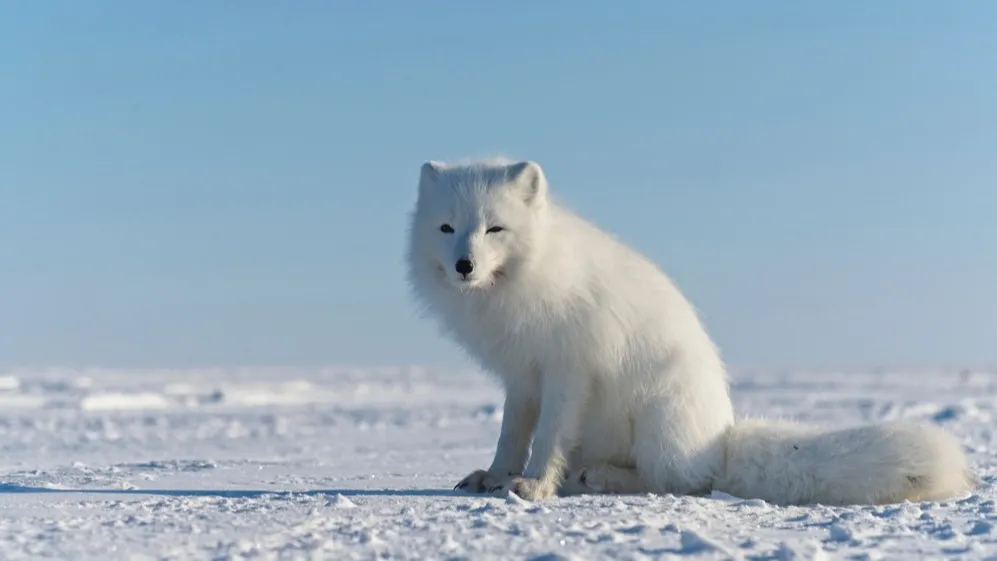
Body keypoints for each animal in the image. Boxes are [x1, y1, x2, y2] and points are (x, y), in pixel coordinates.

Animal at [402, 156, 972, 504]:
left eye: (495, 228)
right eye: (447, 228)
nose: (465, 266)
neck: (520, 283)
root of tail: (721, 438)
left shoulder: (569, 368)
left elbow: (547, 438)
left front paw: (535, 485)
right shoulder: (521, 375)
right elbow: (511, 434)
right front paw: (496, 477)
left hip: (659, 414)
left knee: (681, 481)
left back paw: (600, 476)